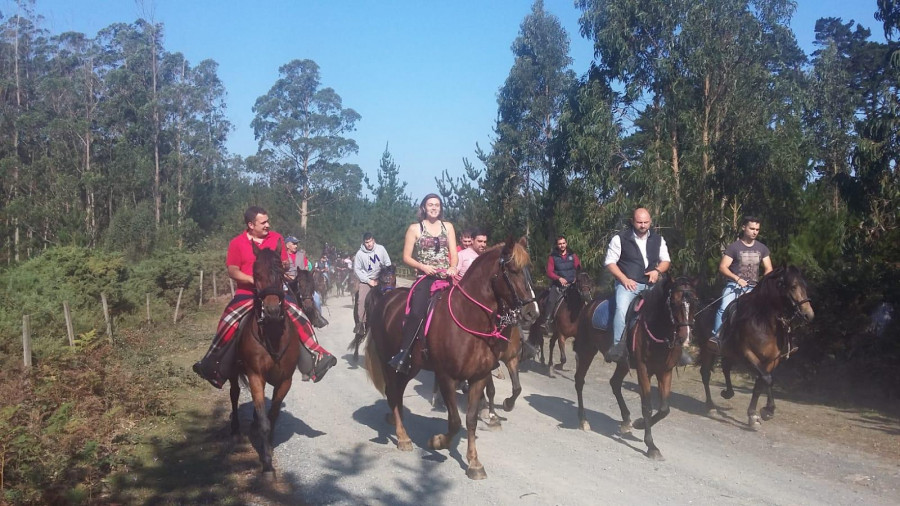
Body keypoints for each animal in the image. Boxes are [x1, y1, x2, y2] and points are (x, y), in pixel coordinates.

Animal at [229, 243, 324, 476]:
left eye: (281, 273)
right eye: (256, 274)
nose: (272, 310)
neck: (272, 334)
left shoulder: (284, 380)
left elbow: (271, 416)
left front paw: (269, 445)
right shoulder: (255, 376)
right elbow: (264, 419)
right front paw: (267, 463)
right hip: (234, 372)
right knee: (234, 394)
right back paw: (235, 430)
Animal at [364, 239, 536, 480]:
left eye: (529, 270)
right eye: (512, 270)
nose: (531, 313)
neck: (469, 318)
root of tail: (386, 299)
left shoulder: (479, 377)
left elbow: (471, 419)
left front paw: (474, 463)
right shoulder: (446, 376)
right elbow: (454, 421)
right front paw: (437, 442)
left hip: (412, 366)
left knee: (396, 392)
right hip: (389, 360)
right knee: (392, 391)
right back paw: (403, 436)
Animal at [576, 274, 696, 460]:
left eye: (695, 301)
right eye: (674, 302)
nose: (686, 337)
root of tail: (590, 305)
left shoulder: (665, 371)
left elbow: (664, 409)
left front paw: (639, 424)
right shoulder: (643, 369)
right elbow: (647, 406)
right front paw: (651, 446)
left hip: (623, 363)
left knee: (615, 383)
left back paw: (626, 420)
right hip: (586, 350)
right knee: (579, 381)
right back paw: (583, 420)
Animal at [696, 266, 816, 428]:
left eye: (805, 286)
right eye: (793, 286)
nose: (809, 315)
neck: (764, 322)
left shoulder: (771, 360)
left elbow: (762, 383)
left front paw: (753, 415)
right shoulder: (748, 354)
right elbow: (766, 379)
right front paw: (768, 411)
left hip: (729, 353)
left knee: (726, 368)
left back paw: (728, 393)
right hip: (707, 349)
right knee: (706, 374)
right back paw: (711, 406)